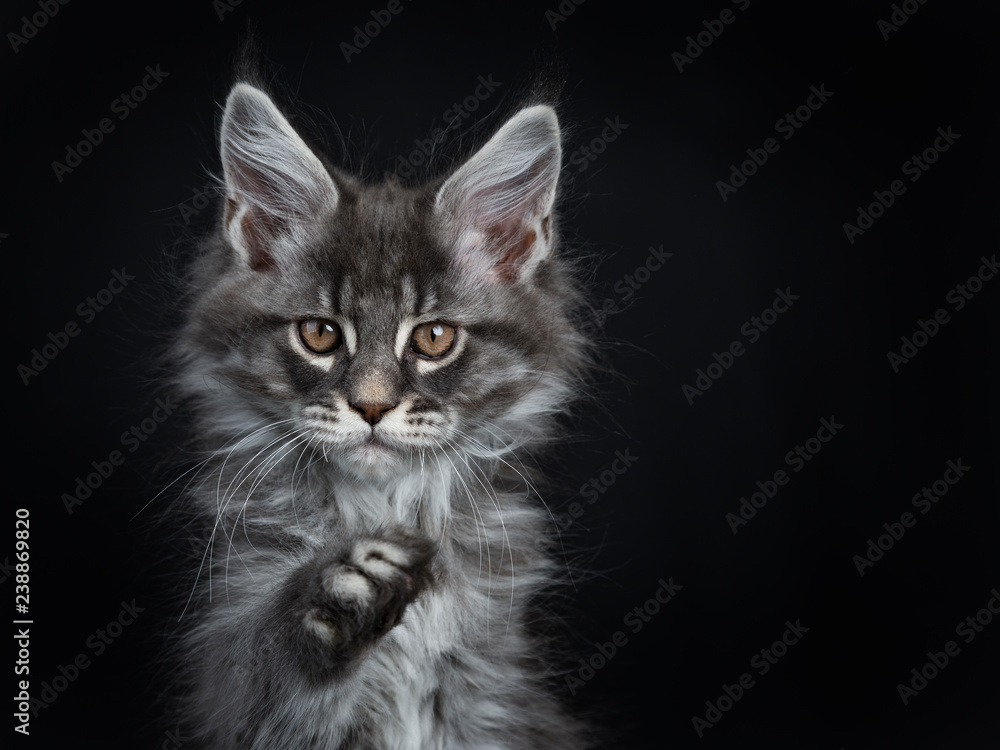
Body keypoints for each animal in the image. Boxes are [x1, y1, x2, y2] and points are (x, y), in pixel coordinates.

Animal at [166, 78, 592, 750]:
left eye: (434, 338)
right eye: (319, 334)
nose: (371, 405)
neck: (383, 506)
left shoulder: (491, 696)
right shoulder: (234, 683)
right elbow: (270, 665)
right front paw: (345, 591)